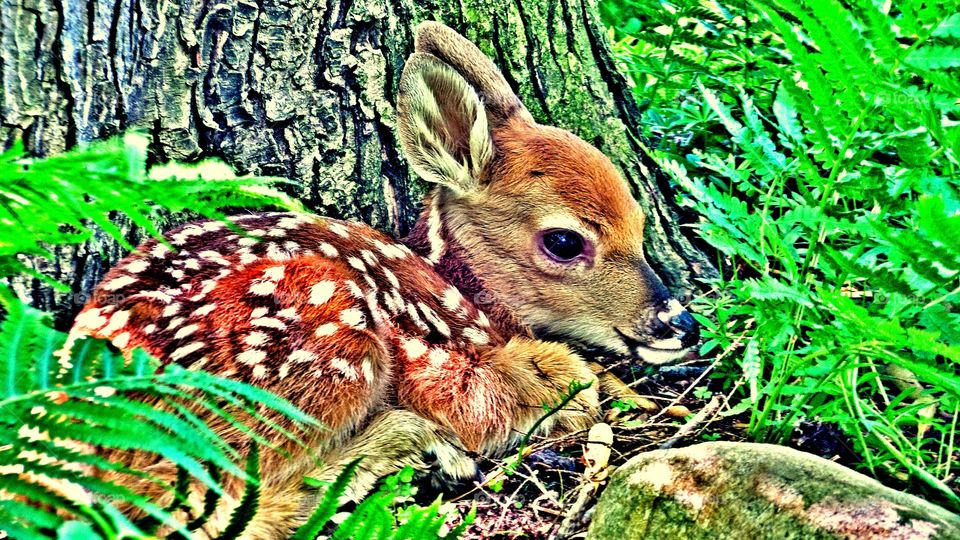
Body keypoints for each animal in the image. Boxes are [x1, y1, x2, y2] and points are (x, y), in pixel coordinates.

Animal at [63, 21, 699, 539]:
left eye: (641, 220)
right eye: (565, 241)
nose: (681, 323)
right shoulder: (440, 364)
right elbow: (541, 388)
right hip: (324, 340)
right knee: (233, 513)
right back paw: (424, 447)